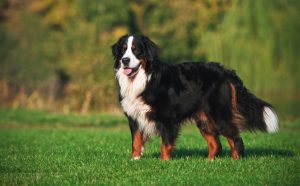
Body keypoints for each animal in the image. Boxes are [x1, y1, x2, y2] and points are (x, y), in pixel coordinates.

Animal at [111, 34, 278, 160]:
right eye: (123, 50)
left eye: (136, 50)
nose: (125, 60)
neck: (143, 79)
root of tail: (226, 72)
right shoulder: (134, 117)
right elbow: (136, 141)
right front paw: (135, 159)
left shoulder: (167, 119)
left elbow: (165, 145)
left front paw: (164, 162)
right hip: (204, 119)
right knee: (216, 144)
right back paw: (209, 162)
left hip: (219, 115)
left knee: (235, 138)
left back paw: (236, 160)